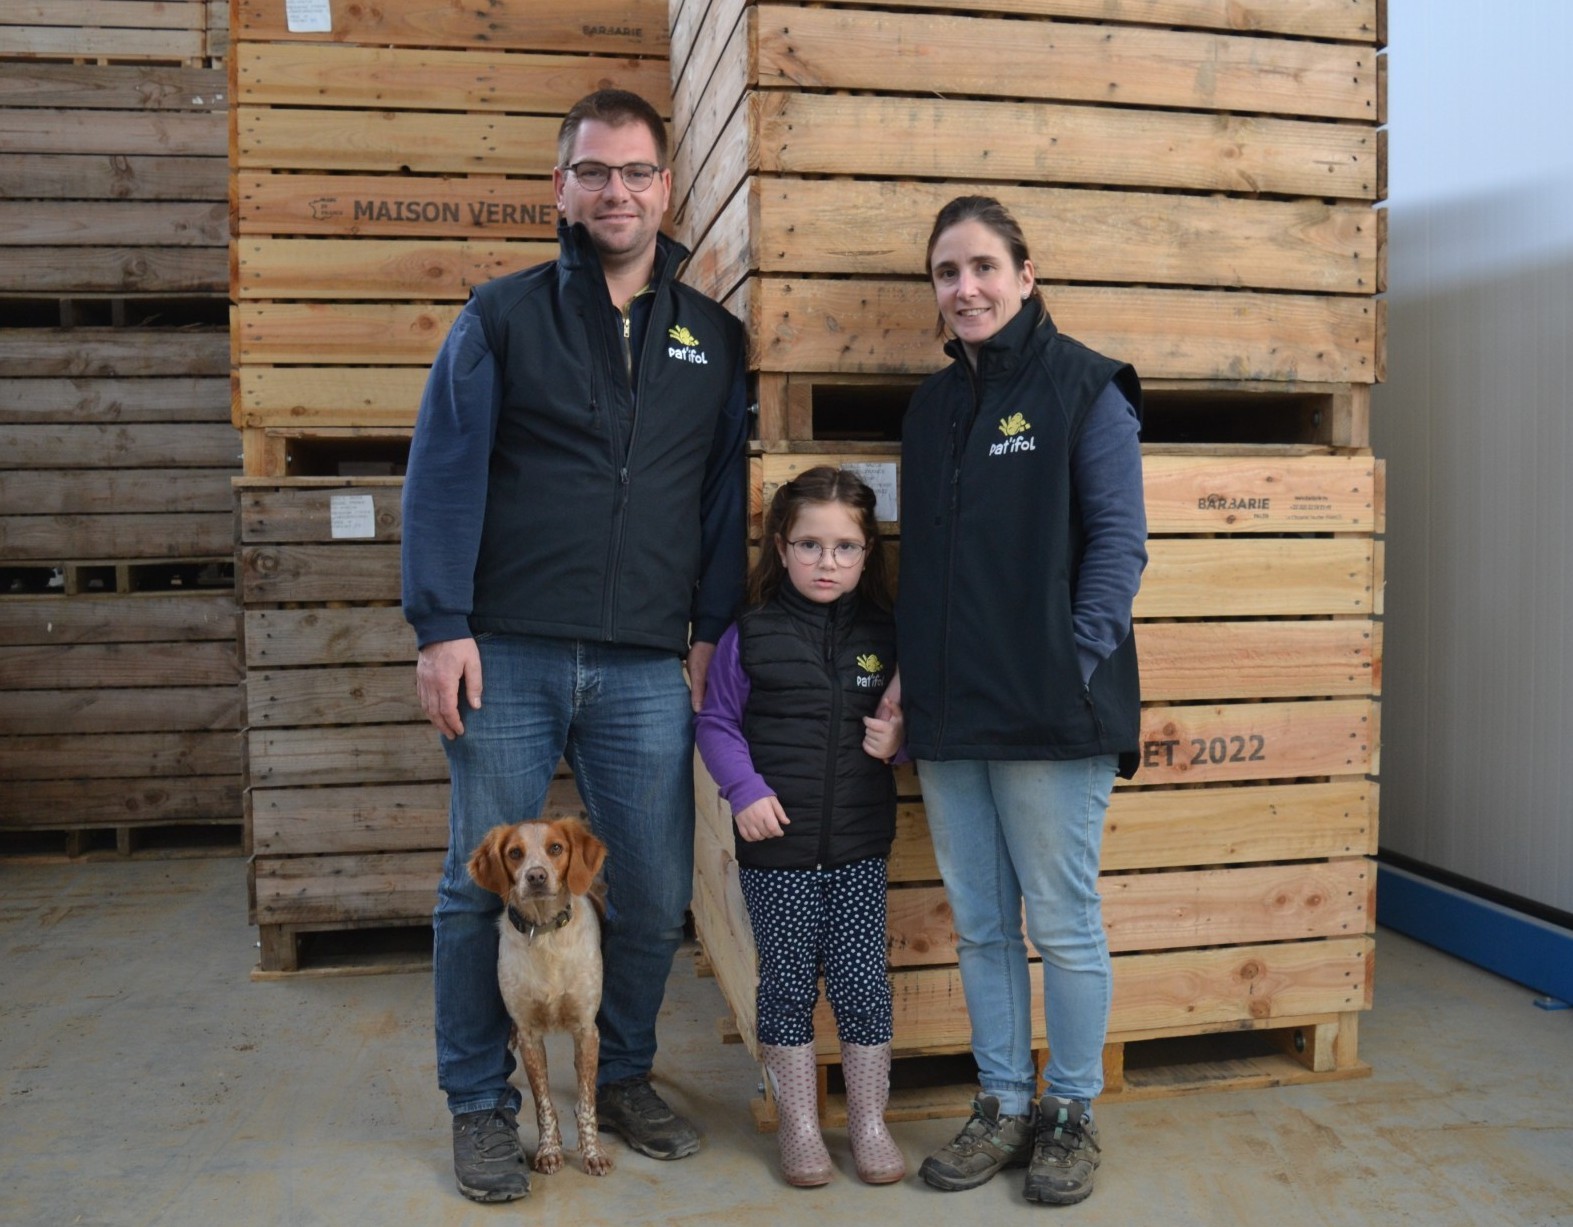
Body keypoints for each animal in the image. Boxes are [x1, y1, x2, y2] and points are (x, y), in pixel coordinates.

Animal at [465, 818, 613, 1176]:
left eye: (555, 848)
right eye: (515, 853)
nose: (535, 876)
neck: (546, 934)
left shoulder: (586, 1030)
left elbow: (586, 1102)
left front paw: (592, 1151)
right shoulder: (529, 1035)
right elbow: (543, 1103)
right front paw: (549, 1150)